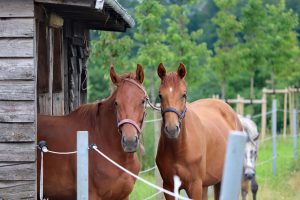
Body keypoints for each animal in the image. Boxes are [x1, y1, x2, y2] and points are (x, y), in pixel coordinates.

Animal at [156, 63, 243, 200]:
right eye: (160, 95)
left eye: (183, 94)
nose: (171, 129)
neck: (180, 149)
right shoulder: (169, 187)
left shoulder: (195, 186)